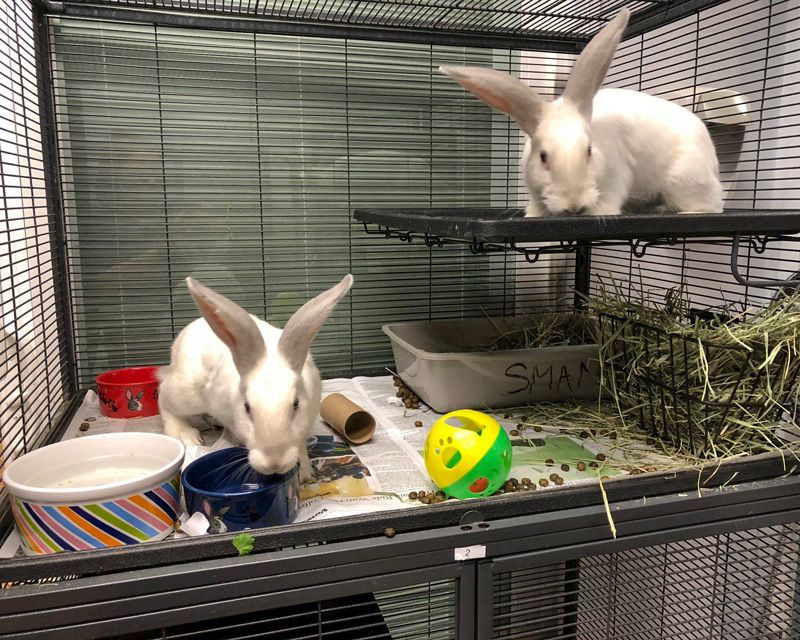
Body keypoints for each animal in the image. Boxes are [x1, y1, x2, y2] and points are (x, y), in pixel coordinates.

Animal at [159, 274, 354, 480]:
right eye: (247, 407)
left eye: (296, 404)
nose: (274, 464)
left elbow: (300, 445)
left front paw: (304, 473)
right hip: (187, 392)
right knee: (164, 397)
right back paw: (187, 435)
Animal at [438, 8, 724, 218]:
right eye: (543, 157)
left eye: (588, 151)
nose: (574, 207)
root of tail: (713, 162)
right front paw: (534, 215)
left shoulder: (616, 177)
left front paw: (599, 212)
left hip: (683, 179)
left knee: (712, 205)